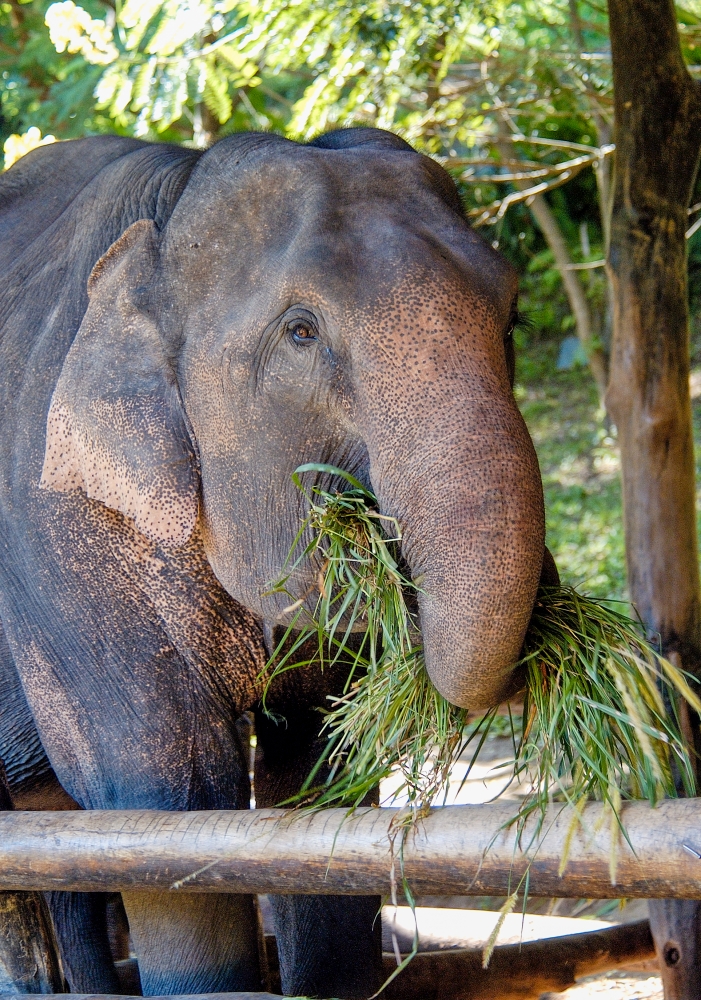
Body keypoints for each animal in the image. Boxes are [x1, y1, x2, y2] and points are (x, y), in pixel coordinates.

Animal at [0, 129, 548, 996]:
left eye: (514, 315)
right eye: (301, 333)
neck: (173, 195)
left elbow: (317, 783)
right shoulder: (51, 530)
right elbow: (170, 800)